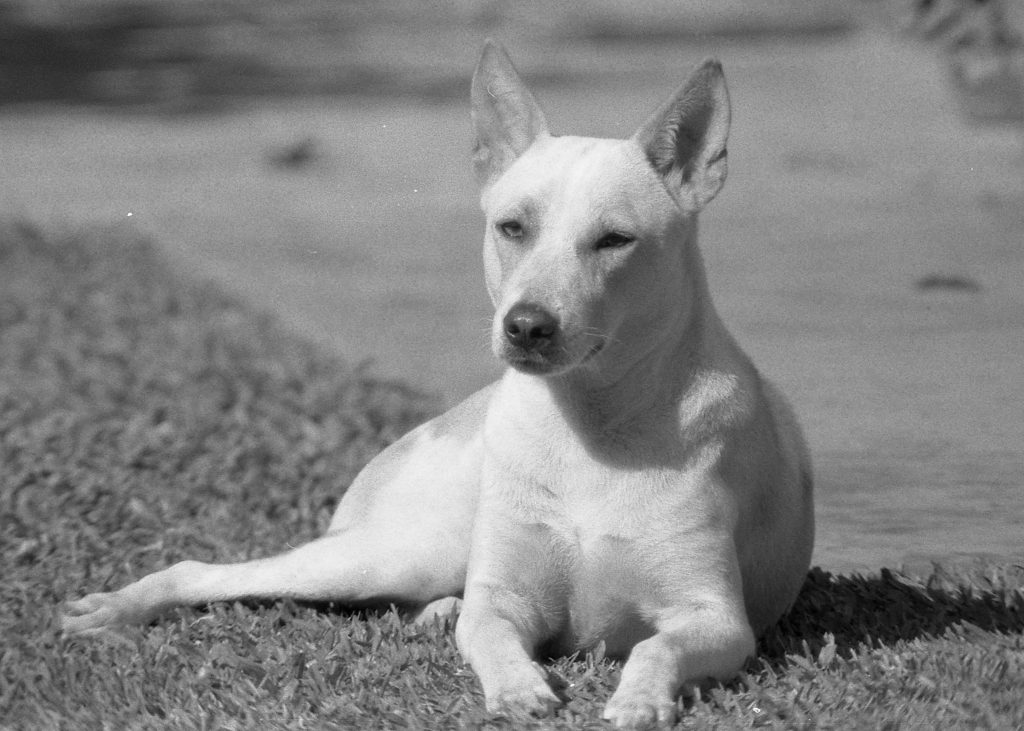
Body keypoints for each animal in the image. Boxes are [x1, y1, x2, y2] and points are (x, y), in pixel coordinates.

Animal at [64, 42, 815, 724]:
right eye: (512, 227)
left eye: (615, 240)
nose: (527, 326)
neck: (592, 422)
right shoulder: (505, 599)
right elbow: (488, 633)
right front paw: (516, 688)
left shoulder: (717, 619)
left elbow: (655, 647)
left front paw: (639, 698)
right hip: (398, 552)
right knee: (206, 572)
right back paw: (118, 606)